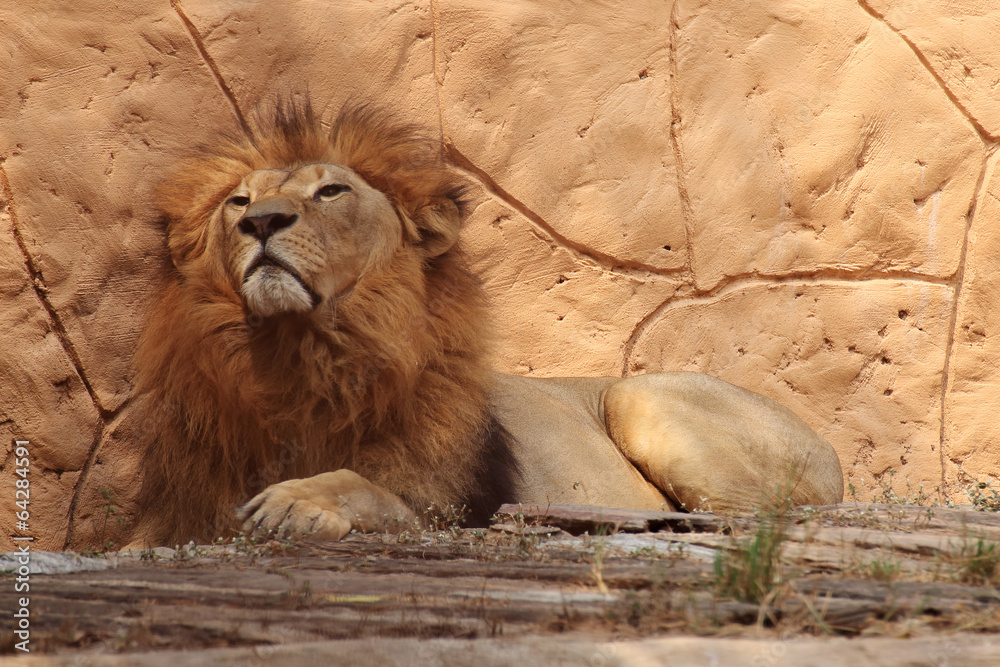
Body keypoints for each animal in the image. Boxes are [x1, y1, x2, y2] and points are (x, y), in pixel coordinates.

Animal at [127, 101, 843, 547]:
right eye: (238, 202)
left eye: (331, 191)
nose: (261, 222)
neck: (301, 352)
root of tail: (831, 450)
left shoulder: (450, 507)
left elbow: (367, 487)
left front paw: (299, 502)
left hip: (640, 397)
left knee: (757, 518)